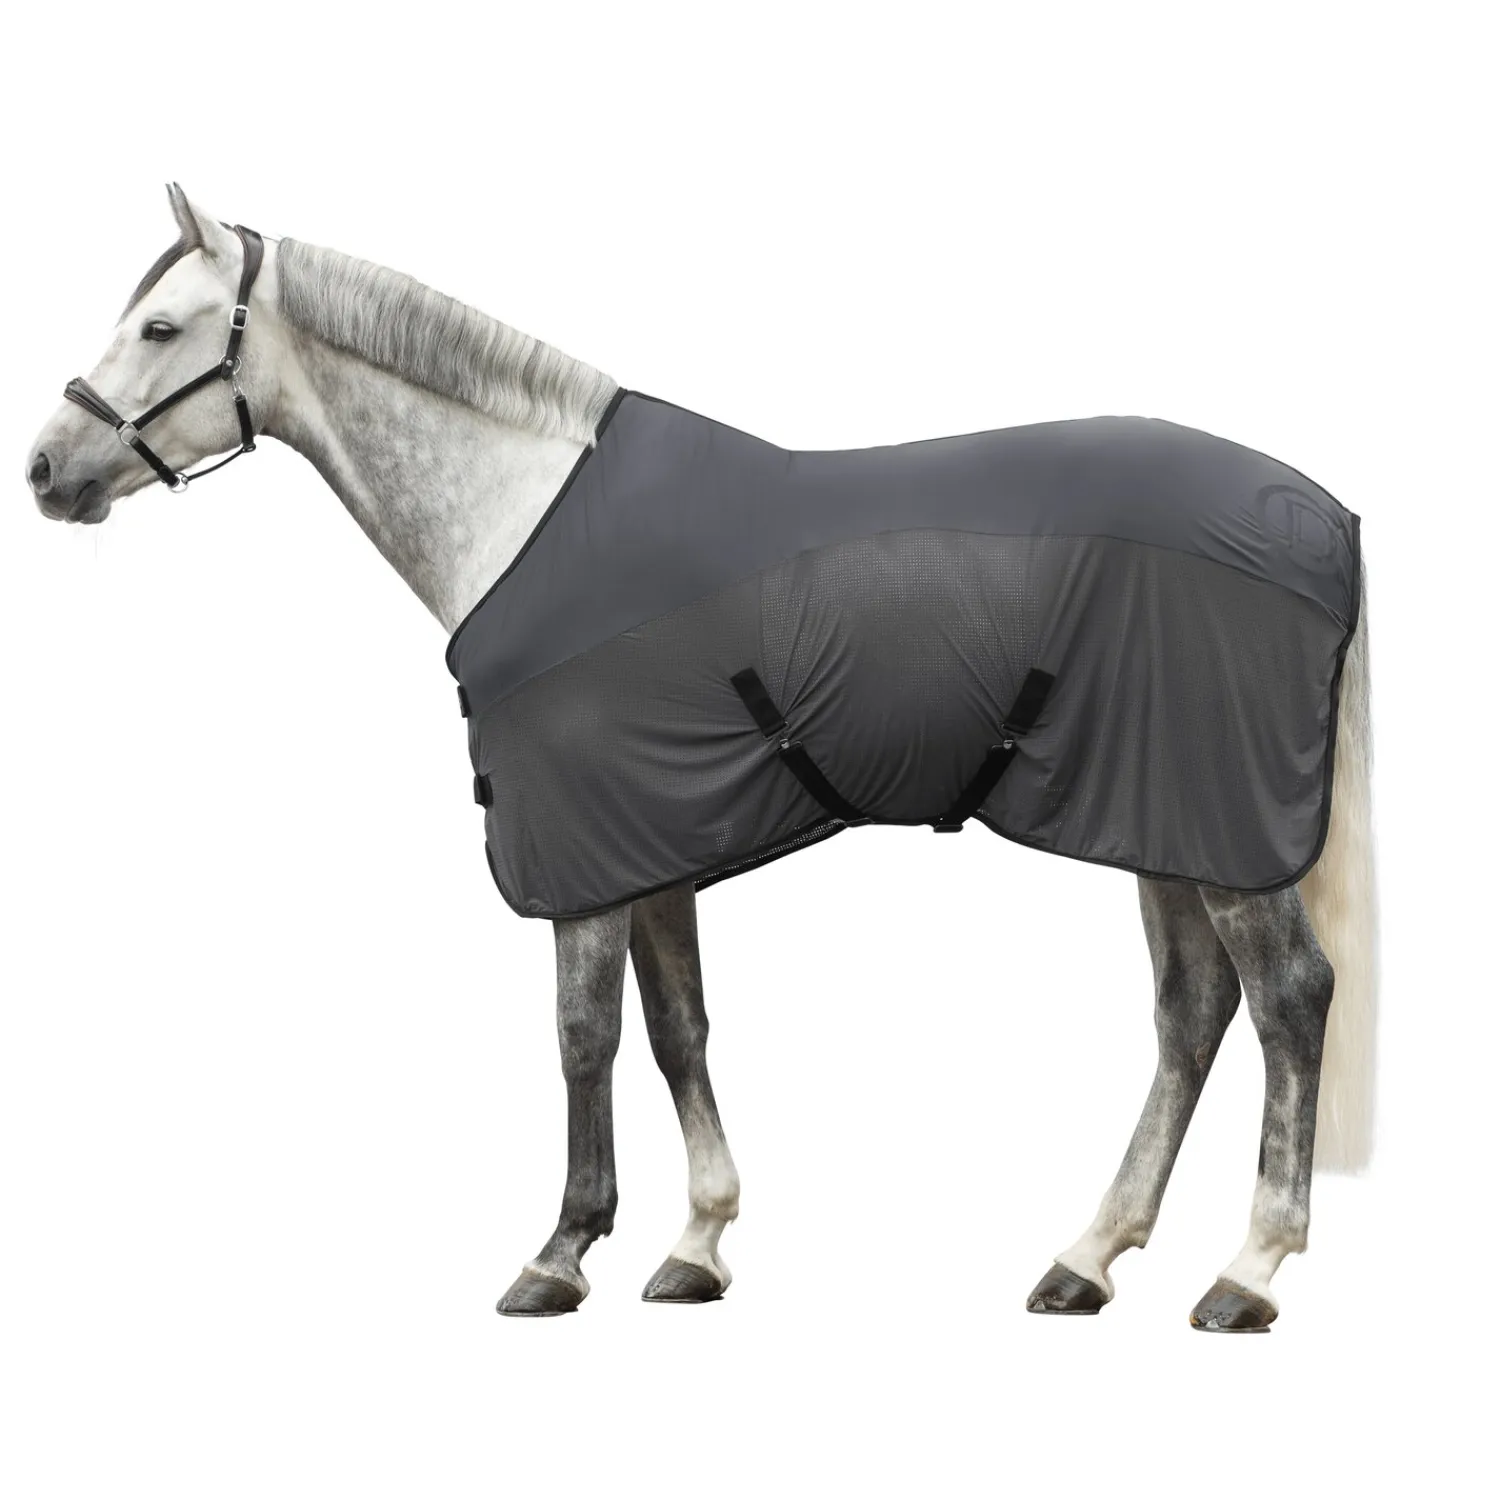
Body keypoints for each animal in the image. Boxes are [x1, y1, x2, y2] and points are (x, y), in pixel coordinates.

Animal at [24, 185, 1376, 1331]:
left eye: (158, 325)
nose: (45, 469)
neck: (527, 516)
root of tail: (1319, 515)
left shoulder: (583, 855)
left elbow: (583, 1036)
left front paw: (560, 1254)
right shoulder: (652, 842)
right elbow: (680, 1030)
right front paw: (697, 1244)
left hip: (1223, 829)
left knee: (1289, 999)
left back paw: (1247, 1270)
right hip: (1164, 821)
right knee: (1192, 1014)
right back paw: (1087, 1258)